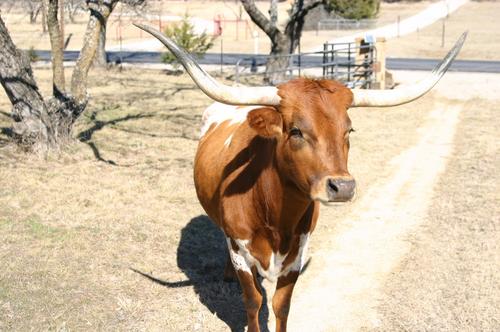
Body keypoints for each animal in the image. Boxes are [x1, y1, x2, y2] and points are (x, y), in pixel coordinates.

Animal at [134, 24, 464, 332]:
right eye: (295, 131)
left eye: (349, 130)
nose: (342, 187)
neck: (273, 212)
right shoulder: (239, 246)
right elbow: (252, 300)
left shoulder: (299, 249)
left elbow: (282, 303)